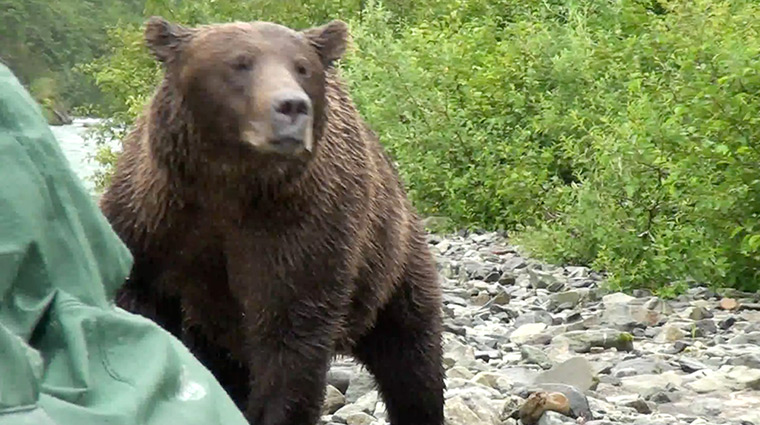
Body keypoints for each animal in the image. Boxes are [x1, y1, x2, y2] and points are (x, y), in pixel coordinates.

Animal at [98, 15, 445, 425]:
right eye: (239, 63)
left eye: (302, 67)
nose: (292, 106)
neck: (230, 185)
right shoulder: (153, 220)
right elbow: (136, 302)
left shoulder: (300, 230)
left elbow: (289, 343)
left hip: (390, 264)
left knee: (411, 359)